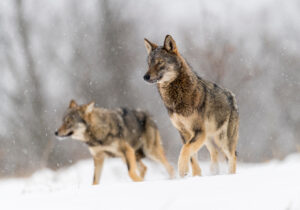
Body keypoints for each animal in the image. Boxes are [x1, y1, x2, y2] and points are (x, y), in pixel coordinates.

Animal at [143, 34, 239, 177]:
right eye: (149, 63)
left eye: (160, 62)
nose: (145, 76)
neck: (175, 97)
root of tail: (232, 96)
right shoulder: (184, 132)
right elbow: (192, 157)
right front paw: (194, 175)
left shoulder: (198, 131)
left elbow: (185, 149)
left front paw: (182, 169)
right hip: (208, 138)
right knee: (215, 152)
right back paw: (214, 172)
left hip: (222, 140)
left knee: (232, 157)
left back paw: (230, 175)